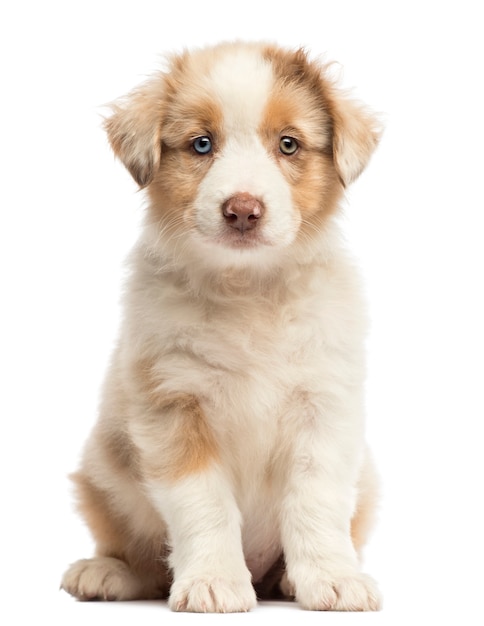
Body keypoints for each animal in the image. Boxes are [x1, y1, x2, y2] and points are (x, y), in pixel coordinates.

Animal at [62, 40, 384, 608]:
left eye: (288, 144)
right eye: (201, 144)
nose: (243, 211)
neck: (247, 289)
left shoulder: (324, 407)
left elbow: (316, 500)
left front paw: (333, 578)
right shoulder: (173, 406)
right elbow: (204, 504)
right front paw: (213, 581)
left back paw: (288, 579)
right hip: (102, 472)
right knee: (140, 556)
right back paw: (106, 572)